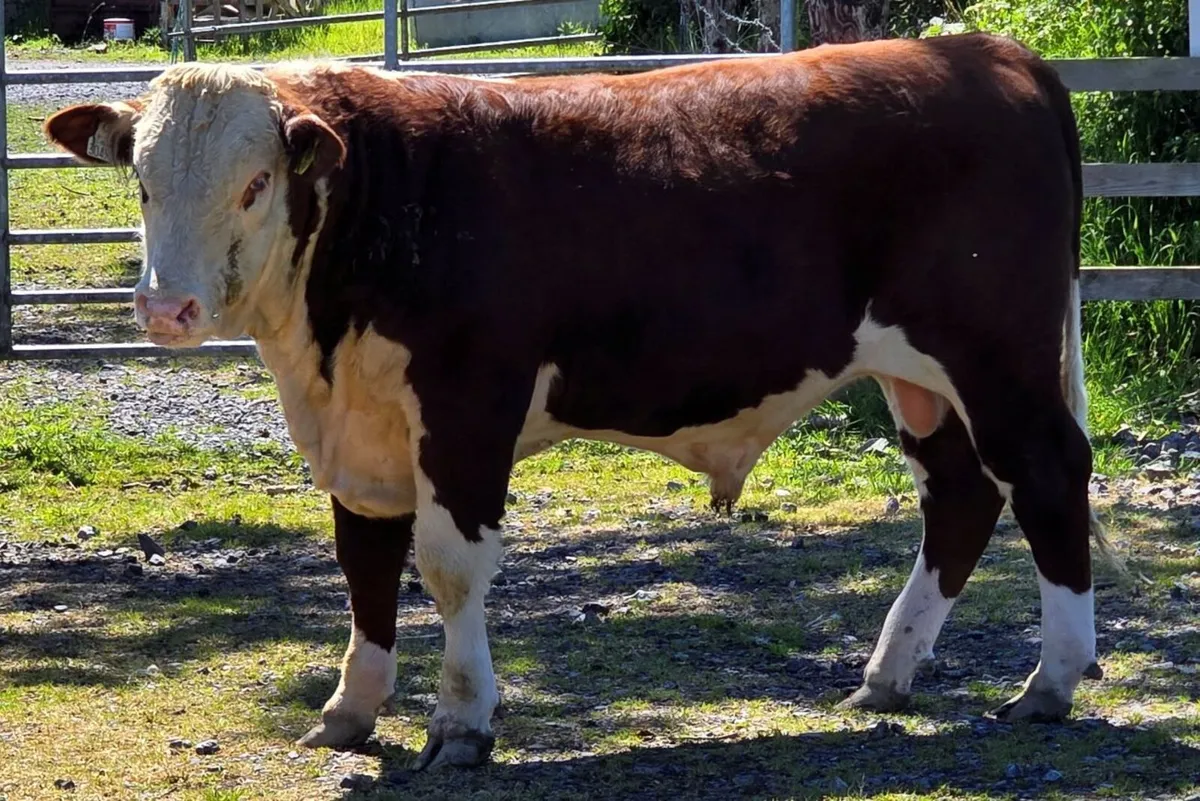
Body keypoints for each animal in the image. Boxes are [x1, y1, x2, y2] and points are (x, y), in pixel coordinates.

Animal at [46, 32, 1116, 770]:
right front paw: (351, 708)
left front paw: (462, 721)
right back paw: (887, 677)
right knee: (961, 496)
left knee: (1047, 475)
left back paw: (1049, 682)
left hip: (997, 354)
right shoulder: (362, 429)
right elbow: (363, 561)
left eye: (256, 183)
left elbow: (448, 569)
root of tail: (988, 51)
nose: (167, 308)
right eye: (142, 184)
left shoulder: (468, 405)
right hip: (921, 379)